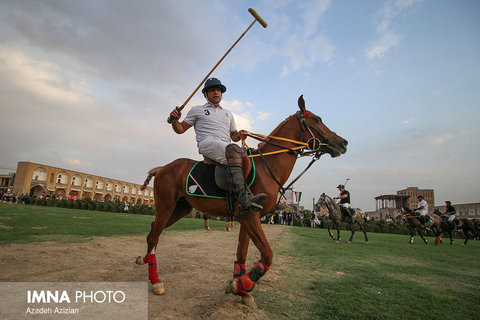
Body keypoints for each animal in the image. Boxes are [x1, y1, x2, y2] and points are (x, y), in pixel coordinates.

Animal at [137, 95, 346, 304]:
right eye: (317, 119)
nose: (343, 143)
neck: (267, 168)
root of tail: (162, 168)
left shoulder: (248, 217)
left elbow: (242, 253)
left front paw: (241, 290)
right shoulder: (248, 215)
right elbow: (267, 254)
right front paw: (244, 283)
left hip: (181, 208)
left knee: (152, 232)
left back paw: (144, 259)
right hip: (166, 205)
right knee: (154, 235)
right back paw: (156, 281)